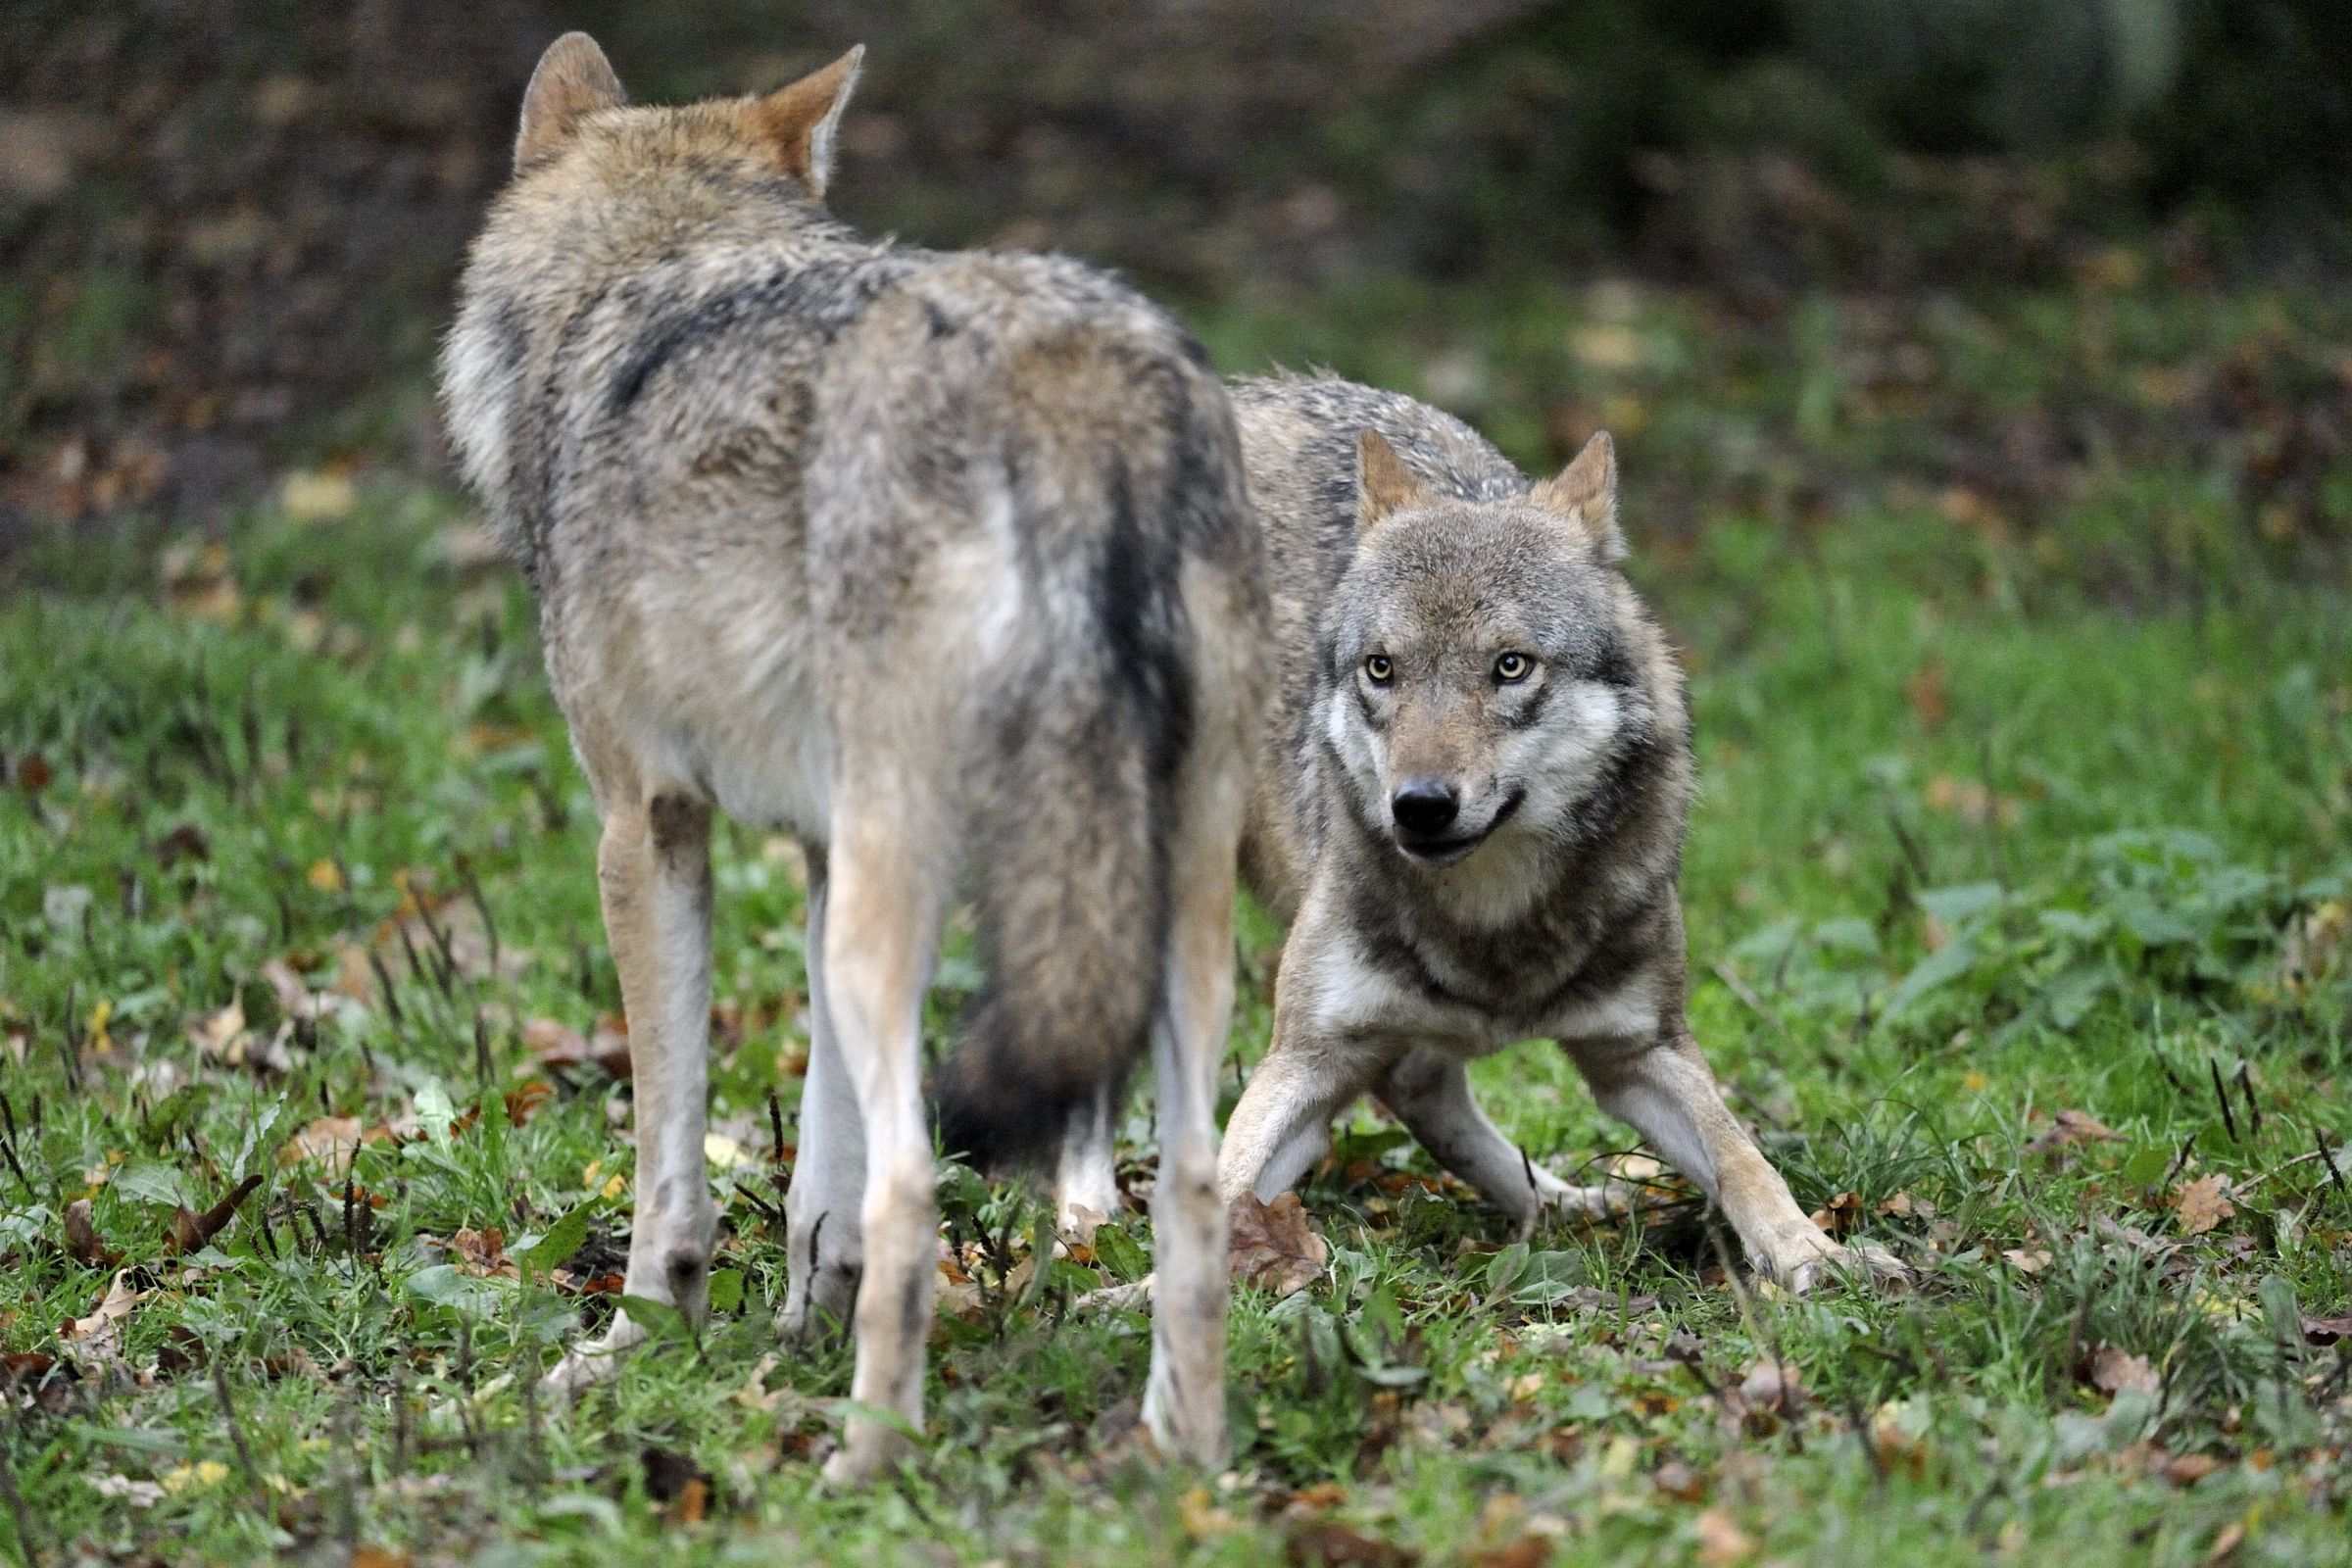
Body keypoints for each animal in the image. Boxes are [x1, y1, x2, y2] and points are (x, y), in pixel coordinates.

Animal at [440, 34, 1265, 1482]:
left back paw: (866, 1461)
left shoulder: (645, 827)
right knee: (1194, 1187)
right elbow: (817, 1165)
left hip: (908, 905)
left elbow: (671, 1154)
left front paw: (639, 1343)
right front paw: (794, 1328)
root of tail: (1074, 370)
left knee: (917, 1191)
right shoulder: (821, 851)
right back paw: (1180, 1461)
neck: (647, 272)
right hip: (1157, 900)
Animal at [1060, 373, 1896, 1293]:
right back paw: (1082, 1223)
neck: (1492, 926)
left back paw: (1564, 1203)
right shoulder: (1308, 1055)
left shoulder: (1643, 1050)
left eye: (1510, 666)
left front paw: (1814, 1252)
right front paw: (1142, 1294)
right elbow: (1229, 1175)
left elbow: (1744, 1157)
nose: (1419, 805)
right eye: (1381, 668)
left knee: (1424, 1088)